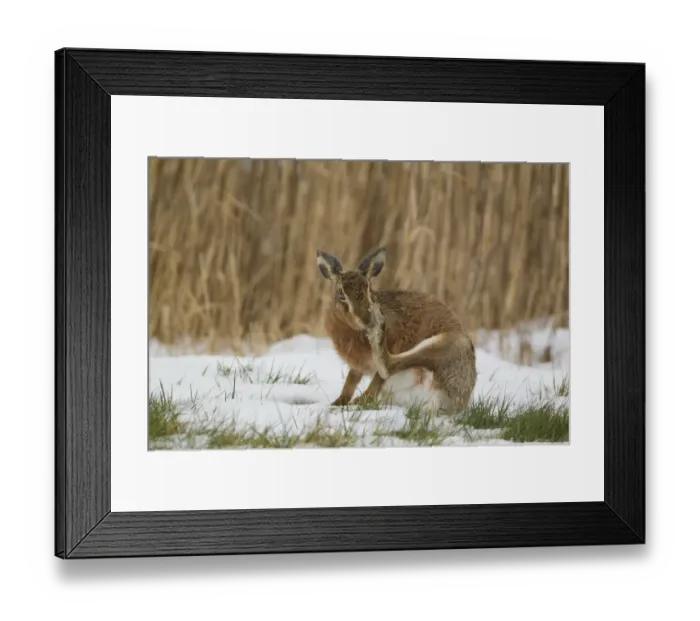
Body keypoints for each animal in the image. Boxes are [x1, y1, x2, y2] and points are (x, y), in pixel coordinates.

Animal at [316, 246, 477, 414]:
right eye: (341, 294)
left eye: (369, 290)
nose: (366, 319)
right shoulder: (356, 367)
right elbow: (350, 381)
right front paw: (337, 402)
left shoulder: (396, 343)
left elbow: (378, 378)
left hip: (444, 345)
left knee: (390, 365)